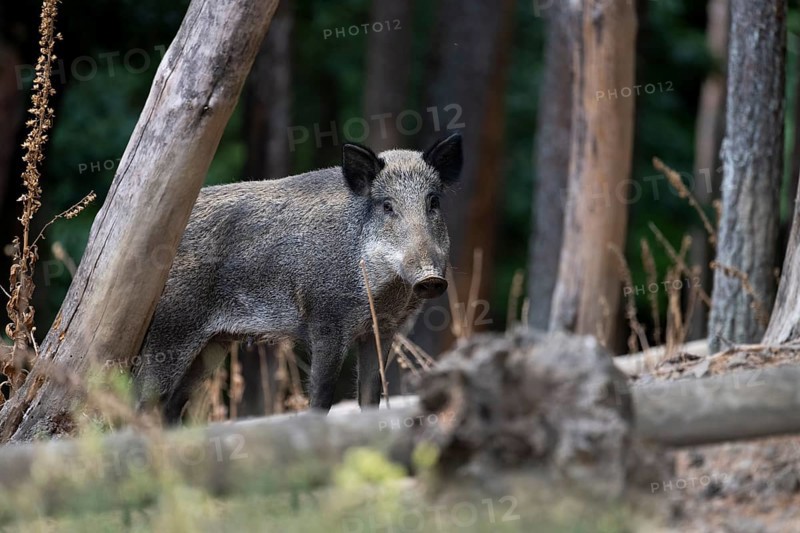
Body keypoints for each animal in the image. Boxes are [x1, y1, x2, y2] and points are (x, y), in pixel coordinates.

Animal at [133, 133, 463, 422]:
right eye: (387, 205)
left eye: (433, 202)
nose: (430, 278)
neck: (383, 293)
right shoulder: (326, 322)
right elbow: (321, 396)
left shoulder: (380, 330)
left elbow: (372, 396)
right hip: (169, 331)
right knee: (141, 404)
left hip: (213, 344)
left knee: (170, 407)